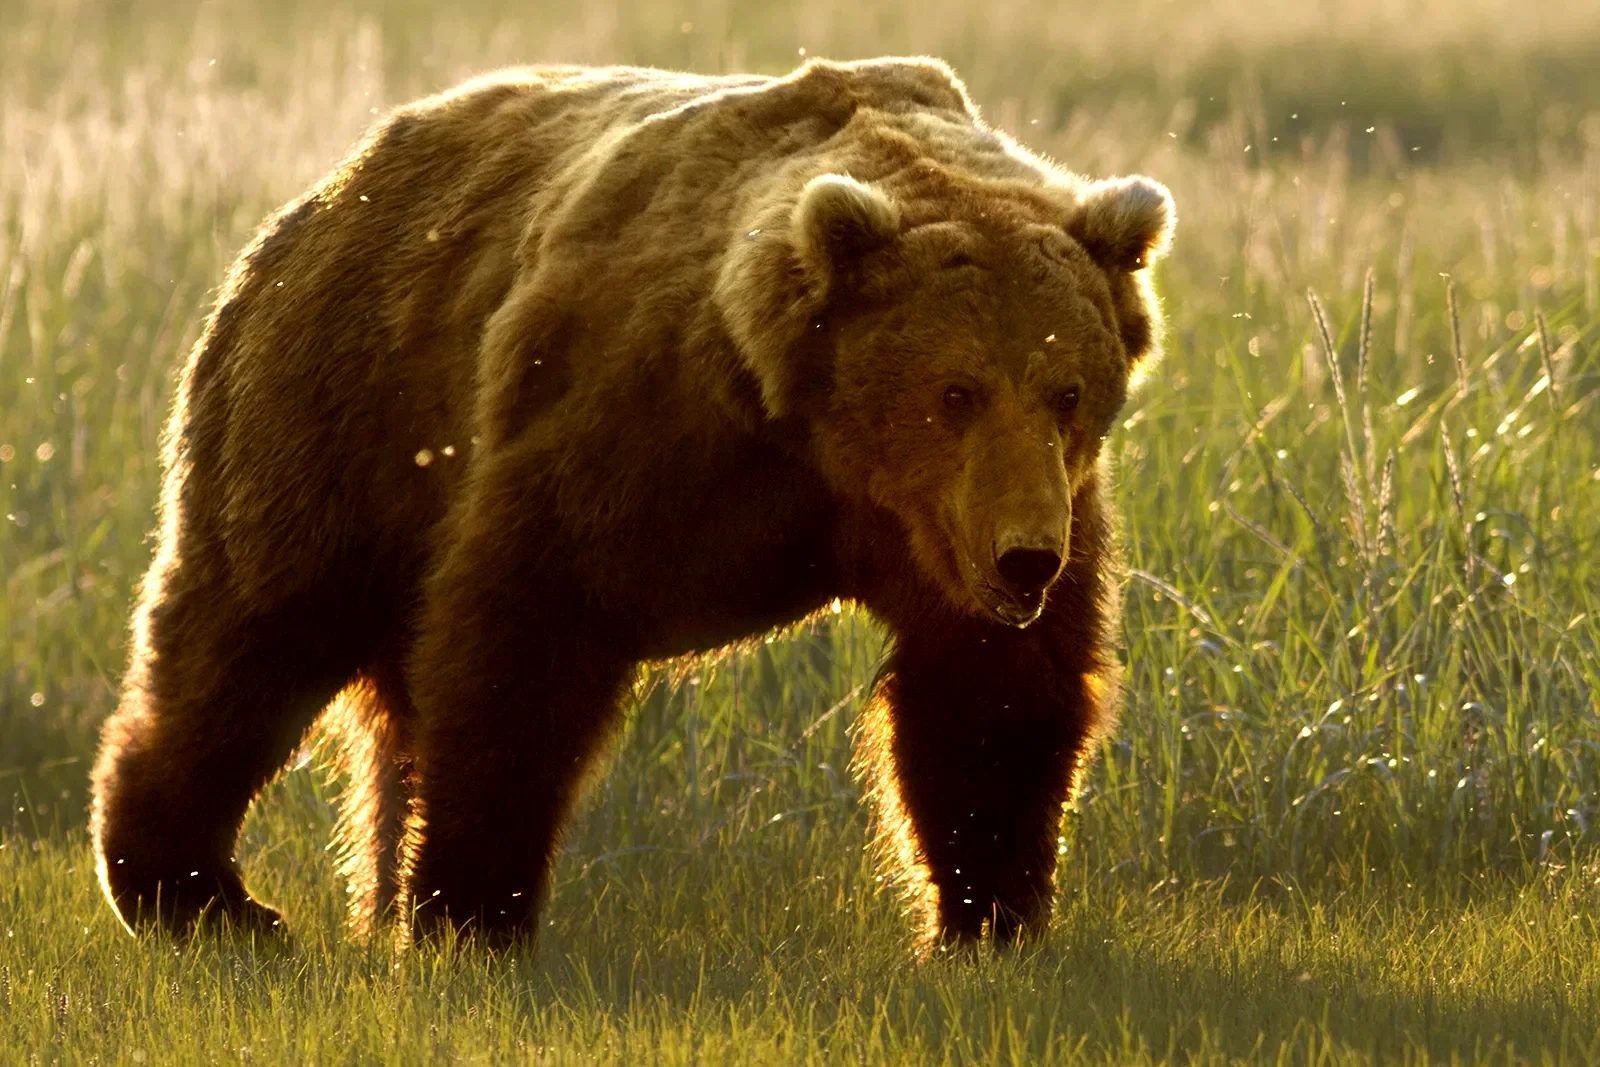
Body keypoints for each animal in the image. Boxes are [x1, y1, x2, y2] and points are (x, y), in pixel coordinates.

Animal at [89, 57, 1174, 952]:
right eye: (955, 391)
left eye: (1067, 390)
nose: (1024, 558)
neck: (805, 428)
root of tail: (325, 188)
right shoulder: (629, 423)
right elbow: (521, 645)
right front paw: (472, 916)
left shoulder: (960, 518)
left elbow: (989, 693)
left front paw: (986, 922)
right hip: (341, 399)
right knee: (251, 634)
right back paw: (202, 896)